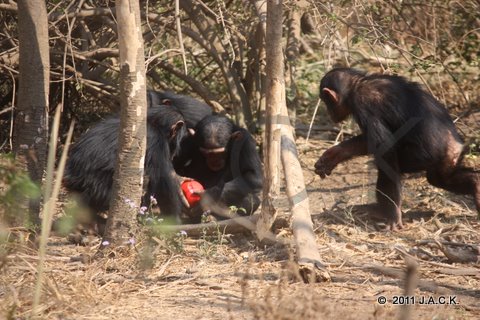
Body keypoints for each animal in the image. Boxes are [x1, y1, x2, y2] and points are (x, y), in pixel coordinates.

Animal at [316, 67, 480, 230]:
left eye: (326, 101)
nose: (328, 112)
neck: (356, 85)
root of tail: (456, 145)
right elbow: (367, 141)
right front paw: (333, 155)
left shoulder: (364, 104)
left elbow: (385, 148)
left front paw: (394, 215)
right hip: (448, 160)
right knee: (441, 178)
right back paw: (476, 184)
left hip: (421, 158)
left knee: (387, 167)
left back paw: (385, 213)